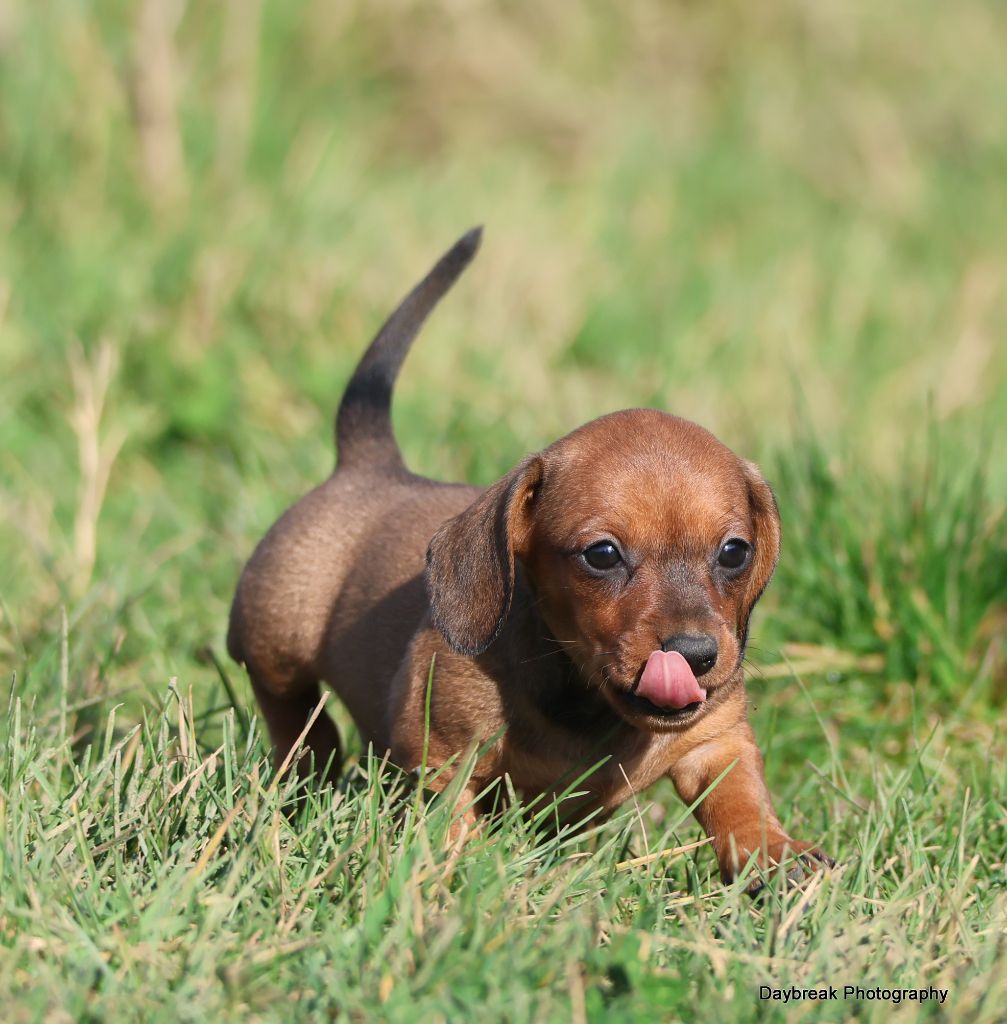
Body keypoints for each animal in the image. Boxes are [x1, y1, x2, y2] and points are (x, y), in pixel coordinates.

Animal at [230, 228, 835, 884]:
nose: (696, 656)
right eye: (602, 555)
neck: (583, 697)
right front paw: (460, 874)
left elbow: (740, 798)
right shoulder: (442, 756)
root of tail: (370, 463)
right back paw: (304, 777)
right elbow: (450, 821)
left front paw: (778, 853)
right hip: (273, 640)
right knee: (294, 713)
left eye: (734, 552)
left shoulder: (716, 741)